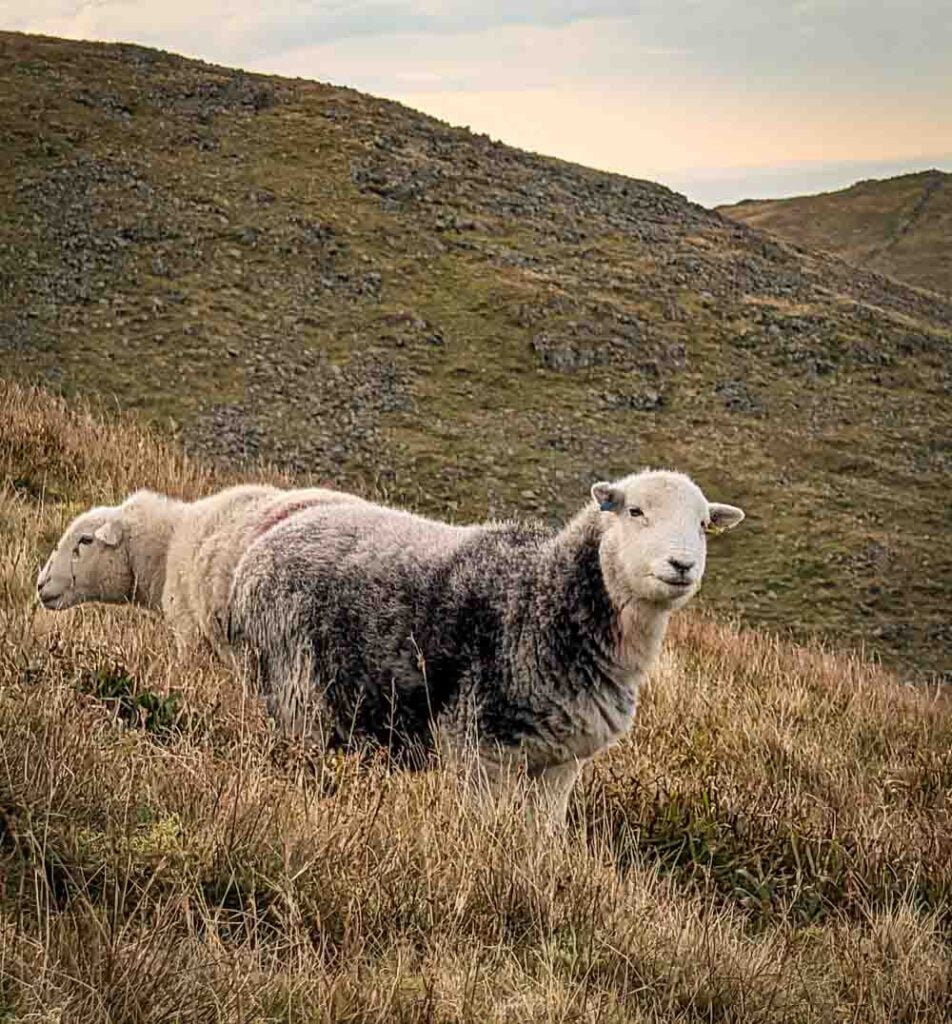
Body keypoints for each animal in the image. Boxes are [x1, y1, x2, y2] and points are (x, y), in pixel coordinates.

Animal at [228, 469, 745, 822]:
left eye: (703, 524)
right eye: (635, 512)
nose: (682, 565)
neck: (548, 595)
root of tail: (260, 546)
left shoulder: (561, 764)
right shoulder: (479, 746)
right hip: (295, 685)